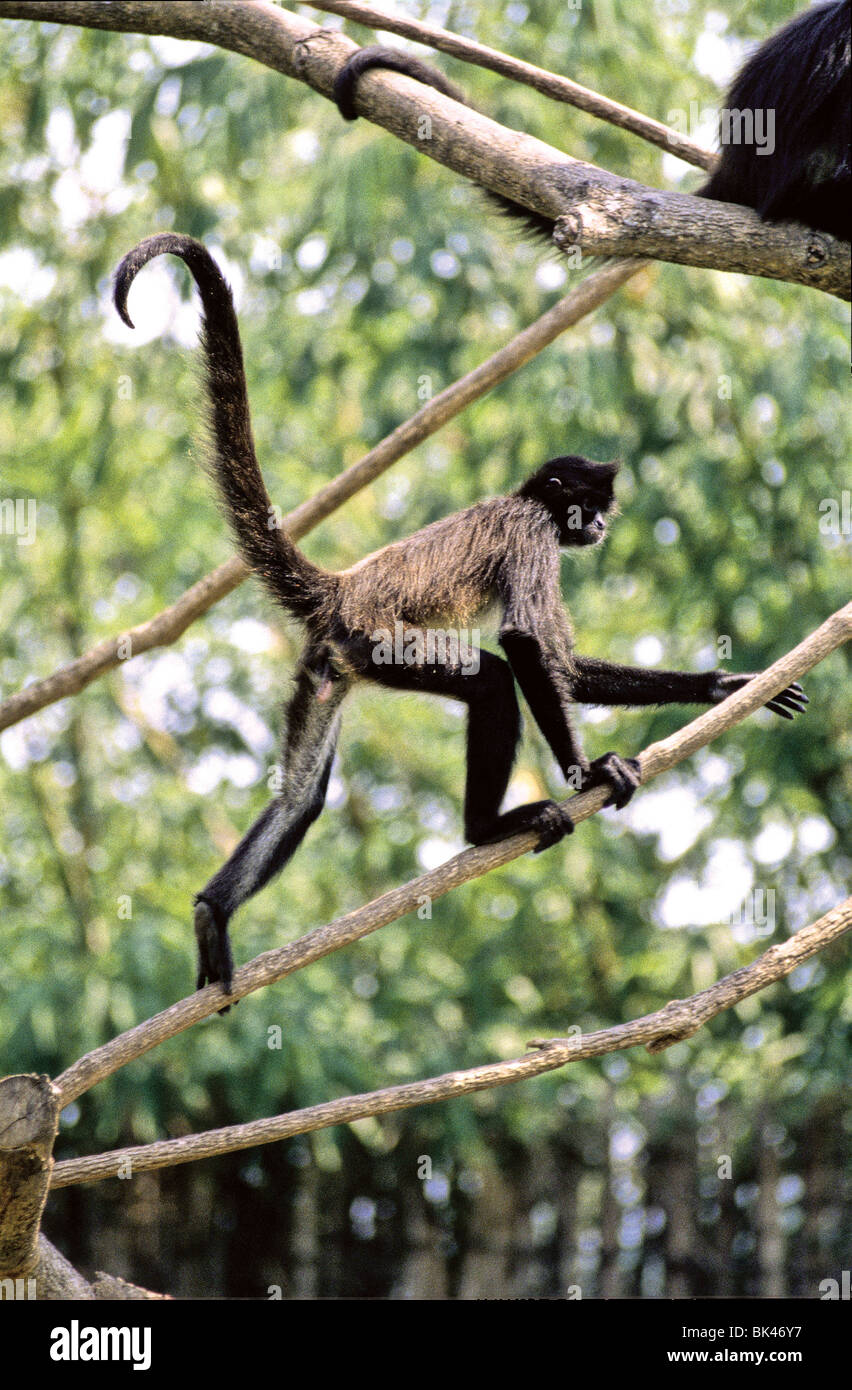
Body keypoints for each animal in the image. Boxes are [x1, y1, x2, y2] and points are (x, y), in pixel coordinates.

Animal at [114, 234, 808, 1005]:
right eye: (585, 507)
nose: (599, 526)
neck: (528, 503)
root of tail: (342, 589)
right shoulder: (532, 533)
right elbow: (525, 643)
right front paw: (587, 774)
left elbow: (565, 666)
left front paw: (725, 686)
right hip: (381, 642)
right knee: (492, 681)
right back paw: (484, 830)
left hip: (330, 663)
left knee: (301, 798)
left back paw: (214, 909)